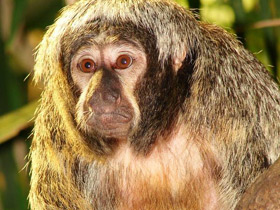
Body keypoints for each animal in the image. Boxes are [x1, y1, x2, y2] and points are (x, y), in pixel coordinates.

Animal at [28, 0, 280, 209]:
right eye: (87, 65)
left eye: (123, 62)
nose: (102, 96)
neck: (159, 131)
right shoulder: (56, 127)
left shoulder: (234, 93)